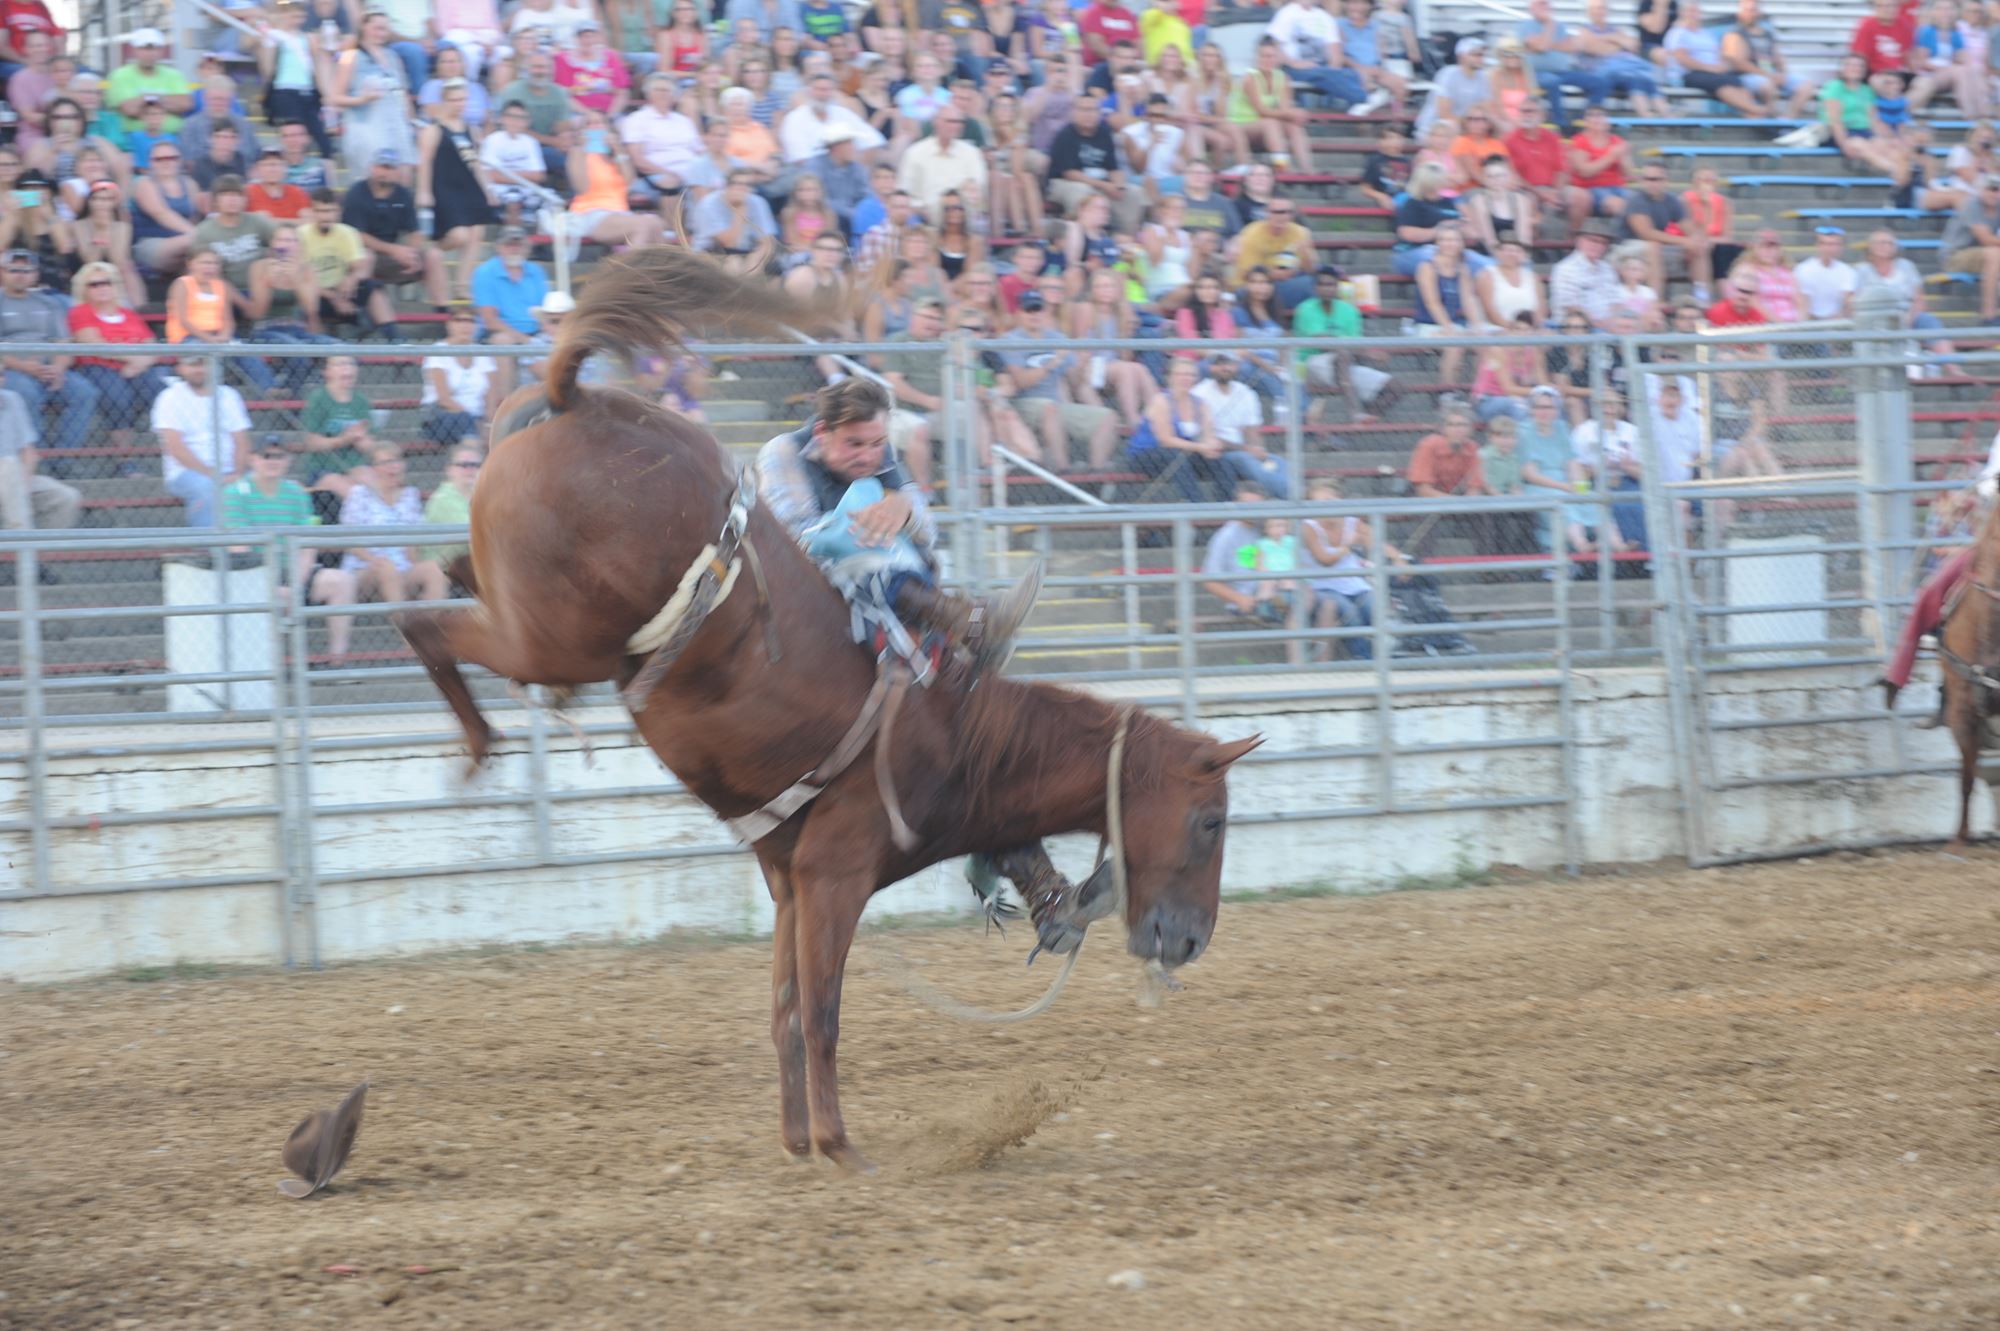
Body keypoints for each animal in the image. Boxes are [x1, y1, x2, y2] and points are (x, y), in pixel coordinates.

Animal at [396, 243, 1256, 1167]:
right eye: (1211, 820)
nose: (1194, 939)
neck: (956, 734)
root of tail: (579, 397)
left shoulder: (786, 879)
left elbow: (783, 1009)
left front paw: (796, 1139)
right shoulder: (835, 873)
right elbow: (824, 1012)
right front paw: (841, 1144)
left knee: (441, 602)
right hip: (554, 638)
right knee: (423, 624)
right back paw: (477, 742)